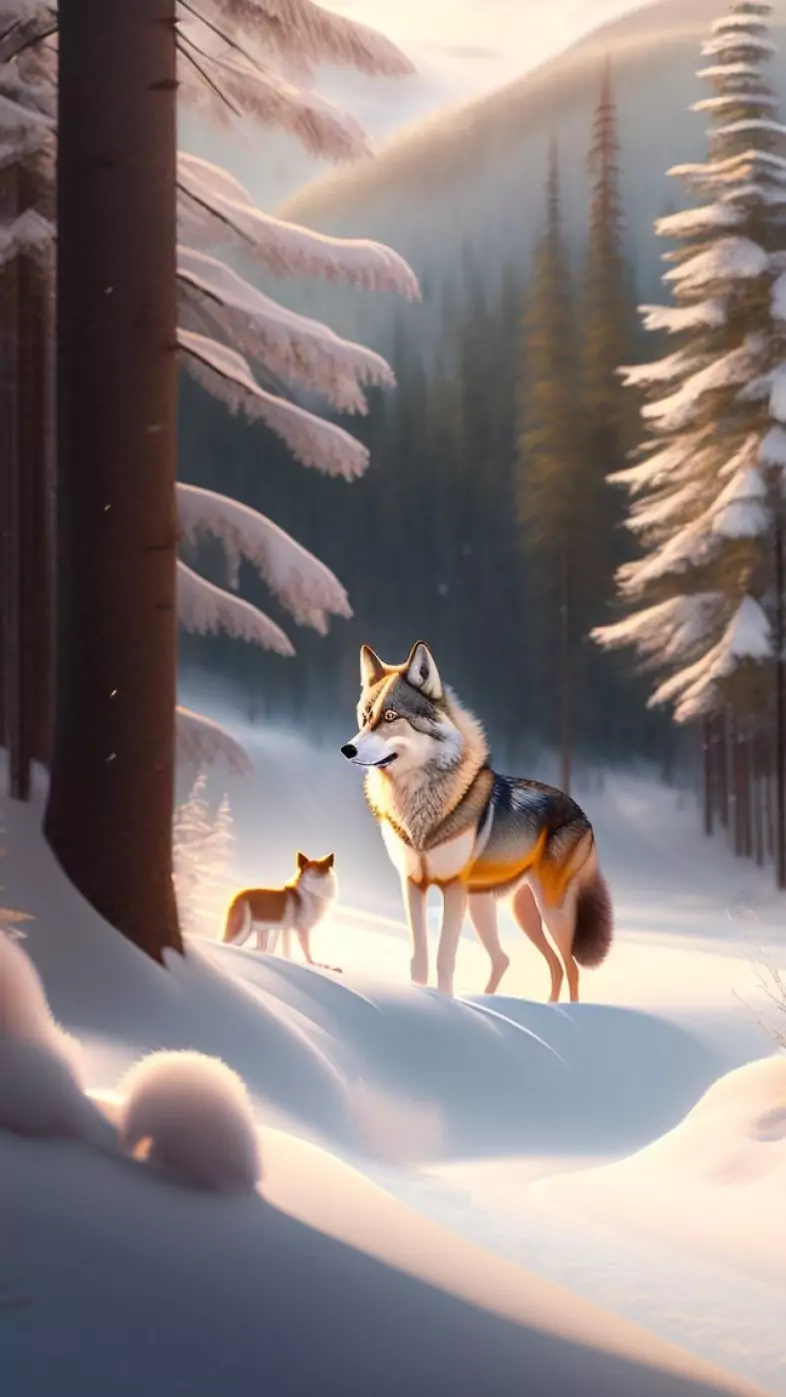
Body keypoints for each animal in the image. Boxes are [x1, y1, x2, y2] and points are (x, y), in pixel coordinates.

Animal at [341, 641, 612, 1000]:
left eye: (390, 716)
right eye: (365, 717)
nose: (347, 749)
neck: (418, 805)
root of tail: (581, 813)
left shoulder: (452, 887)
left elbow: (444, 957)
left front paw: (444, 1001)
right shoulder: (412, 884)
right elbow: (419, 958)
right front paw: (420, 995)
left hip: (550, 911)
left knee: (570, 968)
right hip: (506, 910)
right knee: (523, 961)